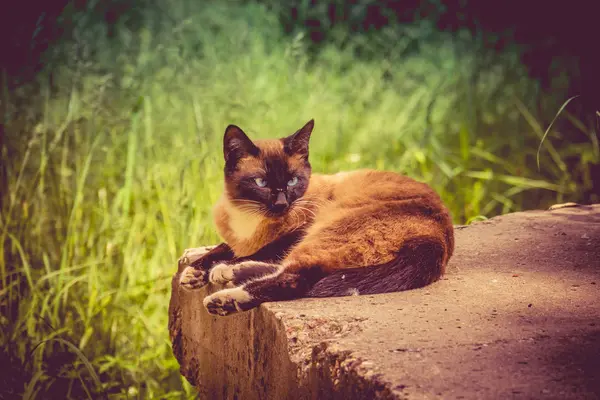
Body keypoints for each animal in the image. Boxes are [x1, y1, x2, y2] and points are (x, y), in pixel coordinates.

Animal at [179, 119, 454, 316]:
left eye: (292, 180)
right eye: (261, 182)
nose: (282, 203)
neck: (249, 218)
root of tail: (438, 239)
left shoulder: (299, 229)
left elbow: (259, 251)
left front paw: (215, 270)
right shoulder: (240, 241)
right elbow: (220, 249)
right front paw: (194, 273)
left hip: (326, 229)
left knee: (295, 278)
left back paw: (224, 296)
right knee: (296, 268)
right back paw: (232, 272)